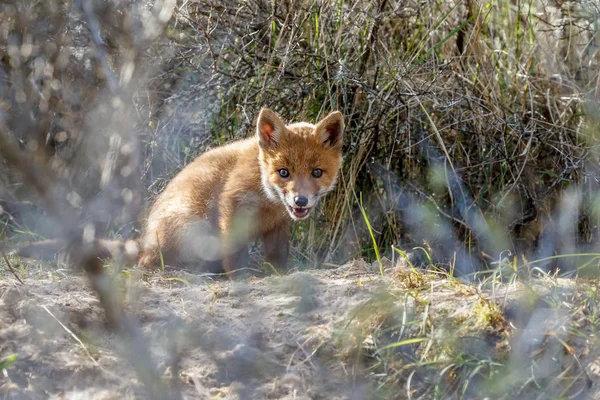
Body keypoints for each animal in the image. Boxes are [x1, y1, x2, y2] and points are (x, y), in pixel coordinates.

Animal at [15, 108, 342, 274]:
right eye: (284, 172)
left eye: (317, 173)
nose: (300, 200)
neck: (267, 201)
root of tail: (147, 237)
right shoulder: (231, 205)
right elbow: (234, 254)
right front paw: (238, 277)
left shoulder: (279, 226)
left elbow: (277, 260)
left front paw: (279, 277)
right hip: (190, 227)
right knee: (148, 262)